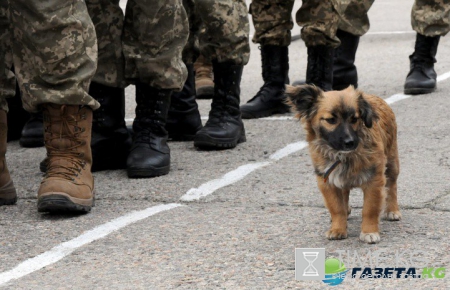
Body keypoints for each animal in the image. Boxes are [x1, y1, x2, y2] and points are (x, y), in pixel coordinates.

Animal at [284, 85, 400, 244]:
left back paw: (392, 210)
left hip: (392, 162)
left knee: (392, 186)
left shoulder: (374, 180)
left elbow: (369, 209)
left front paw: (369, 232)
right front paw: (338, 229)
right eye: (331, 120)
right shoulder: (327, 181)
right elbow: (337, 208)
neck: (342, 155)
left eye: (354, 119)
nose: (350, 142)